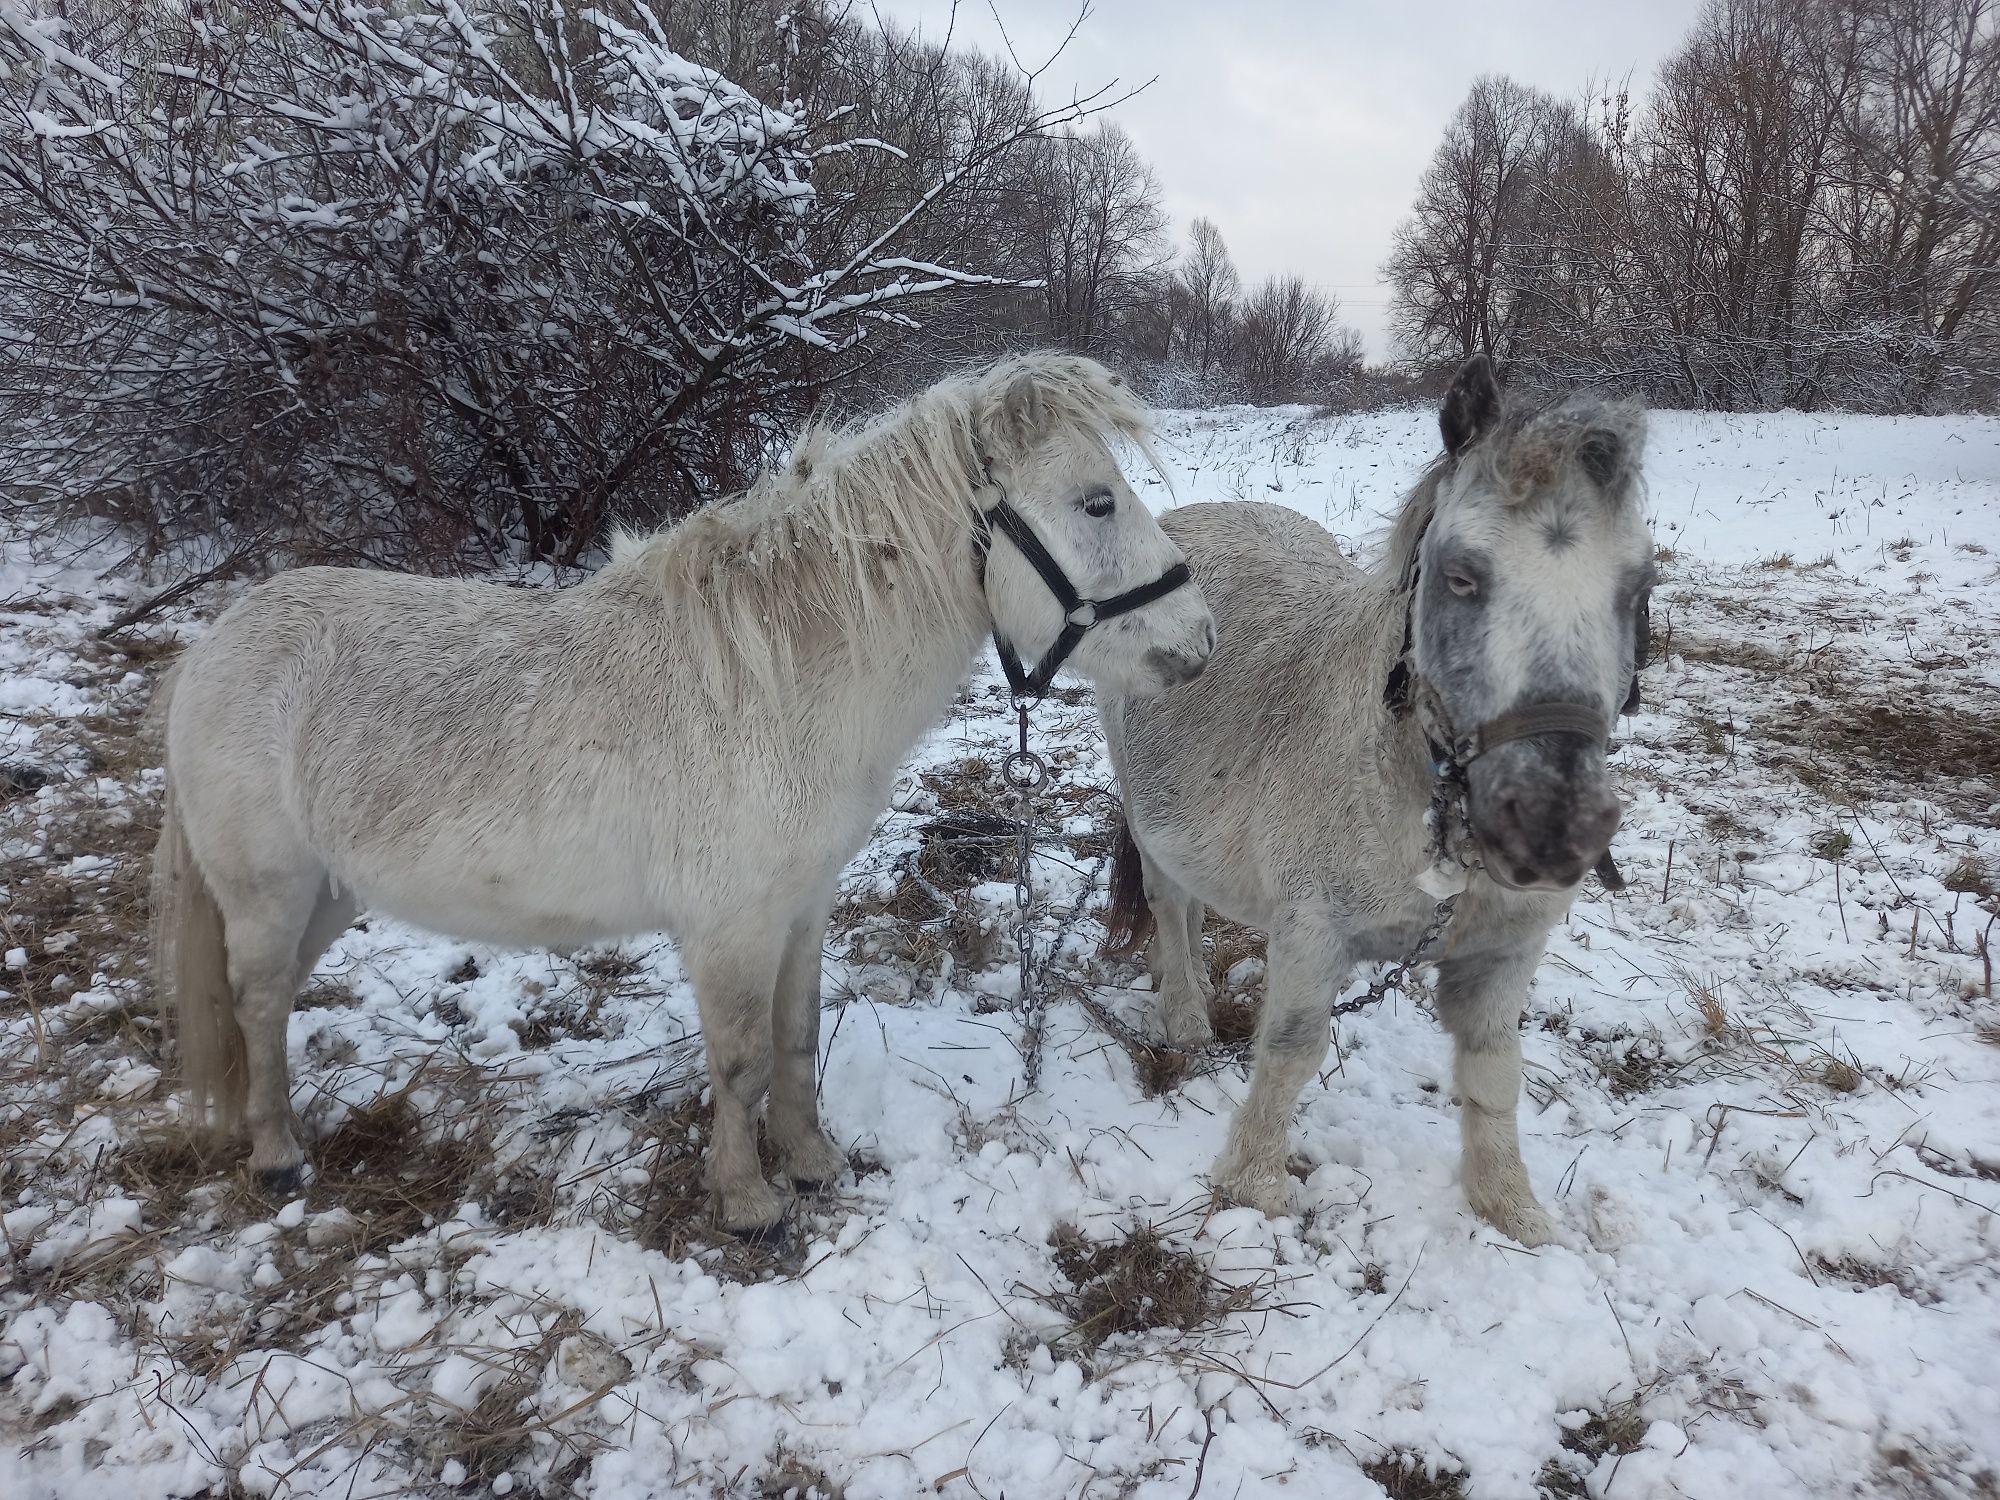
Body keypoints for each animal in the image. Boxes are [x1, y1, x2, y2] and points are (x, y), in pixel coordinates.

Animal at [156, 352, 1208, 1232]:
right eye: (1097, 503)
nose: (1199, 640)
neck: (775, 678)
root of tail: (212, 647)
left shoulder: (799, 908)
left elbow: (794, 1038)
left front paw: (811, 1162)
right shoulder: (728, 926)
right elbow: (739, 1061)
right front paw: (746, 1202)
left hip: (329, 893)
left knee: (266, 1003)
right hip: (269, 890)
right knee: (257, 998)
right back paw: (277, 1158)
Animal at [1104, 362, 1648, 1248]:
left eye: (1640, 588)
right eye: (1462, 576)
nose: (1552, 824)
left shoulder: (1503, 957)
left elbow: (1495, 1073)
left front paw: (1513, 1211)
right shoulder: (1314, 933)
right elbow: (1291, 1050)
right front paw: (1255, 1187)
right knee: (1170, 902)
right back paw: (1183, 1015)